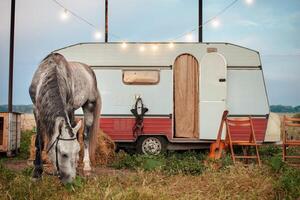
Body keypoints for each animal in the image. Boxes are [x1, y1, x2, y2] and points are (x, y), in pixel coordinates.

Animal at [29, 52, 101, 183]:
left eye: (76, 152)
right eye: (63, 154)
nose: (70, 180)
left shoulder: (68, 107)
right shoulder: (36, 110)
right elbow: (39, 141)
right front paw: (37, 172)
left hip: (89, 106)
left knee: (85, 135)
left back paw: (86, 166)